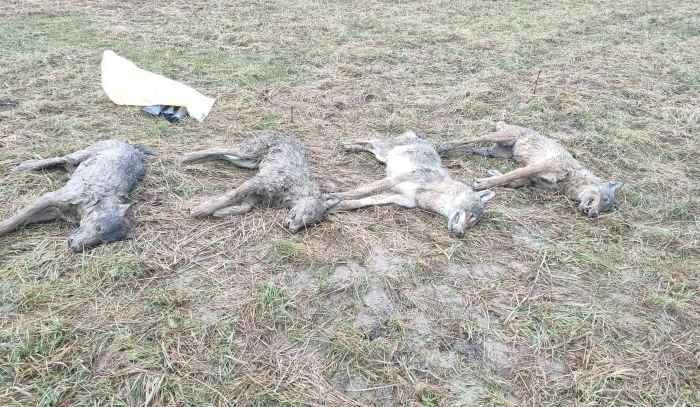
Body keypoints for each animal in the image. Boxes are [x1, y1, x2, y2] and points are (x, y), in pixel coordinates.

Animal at [0, 140, 148, 252]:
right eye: (98, 228)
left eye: (102, 241)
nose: (75, 247)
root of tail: (132, 147)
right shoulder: (50, 198)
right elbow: (14, 221)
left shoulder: (55, 212)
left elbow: (22, 221)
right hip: (81, 155)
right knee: (60, 159)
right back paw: (23, 167)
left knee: (66, 165)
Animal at [330, 131, 494, 237]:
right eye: (472, 216)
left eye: (473, 224)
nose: (461, 234)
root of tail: (417, 135)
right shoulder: (395, 179)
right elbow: (359, 191)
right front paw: (333, 195)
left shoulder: (399, 197)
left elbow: (363, 201)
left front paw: (338, 206)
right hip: (383, 150)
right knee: (371, 139)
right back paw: (347, 142)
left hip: (380, 156)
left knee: (370, 145)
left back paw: (350, 146)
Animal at [438, 121, 624, 217]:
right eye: (605, 200)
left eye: (605, 209)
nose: (593, 214)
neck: (571, 178)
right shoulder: (536, 167)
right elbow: (509, 176)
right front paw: (483, 184)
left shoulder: (530, 179)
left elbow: (510, 180)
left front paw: (491, 175)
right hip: (499, 137)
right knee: (470, 138)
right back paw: (444, 146)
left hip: (496, 153)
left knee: (472, 149)